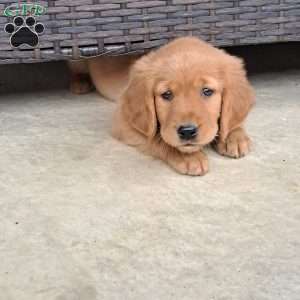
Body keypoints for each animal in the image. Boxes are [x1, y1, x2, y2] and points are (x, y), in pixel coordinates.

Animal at [69, 37, 254, 176]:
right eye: (166, 94)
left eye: (207, 91)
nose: (187, 132)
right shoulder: (123, 122)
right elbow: (159, 139)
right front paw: (187, 157)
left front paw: (233, 136)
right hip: (78, 60)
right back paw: (80, 83)